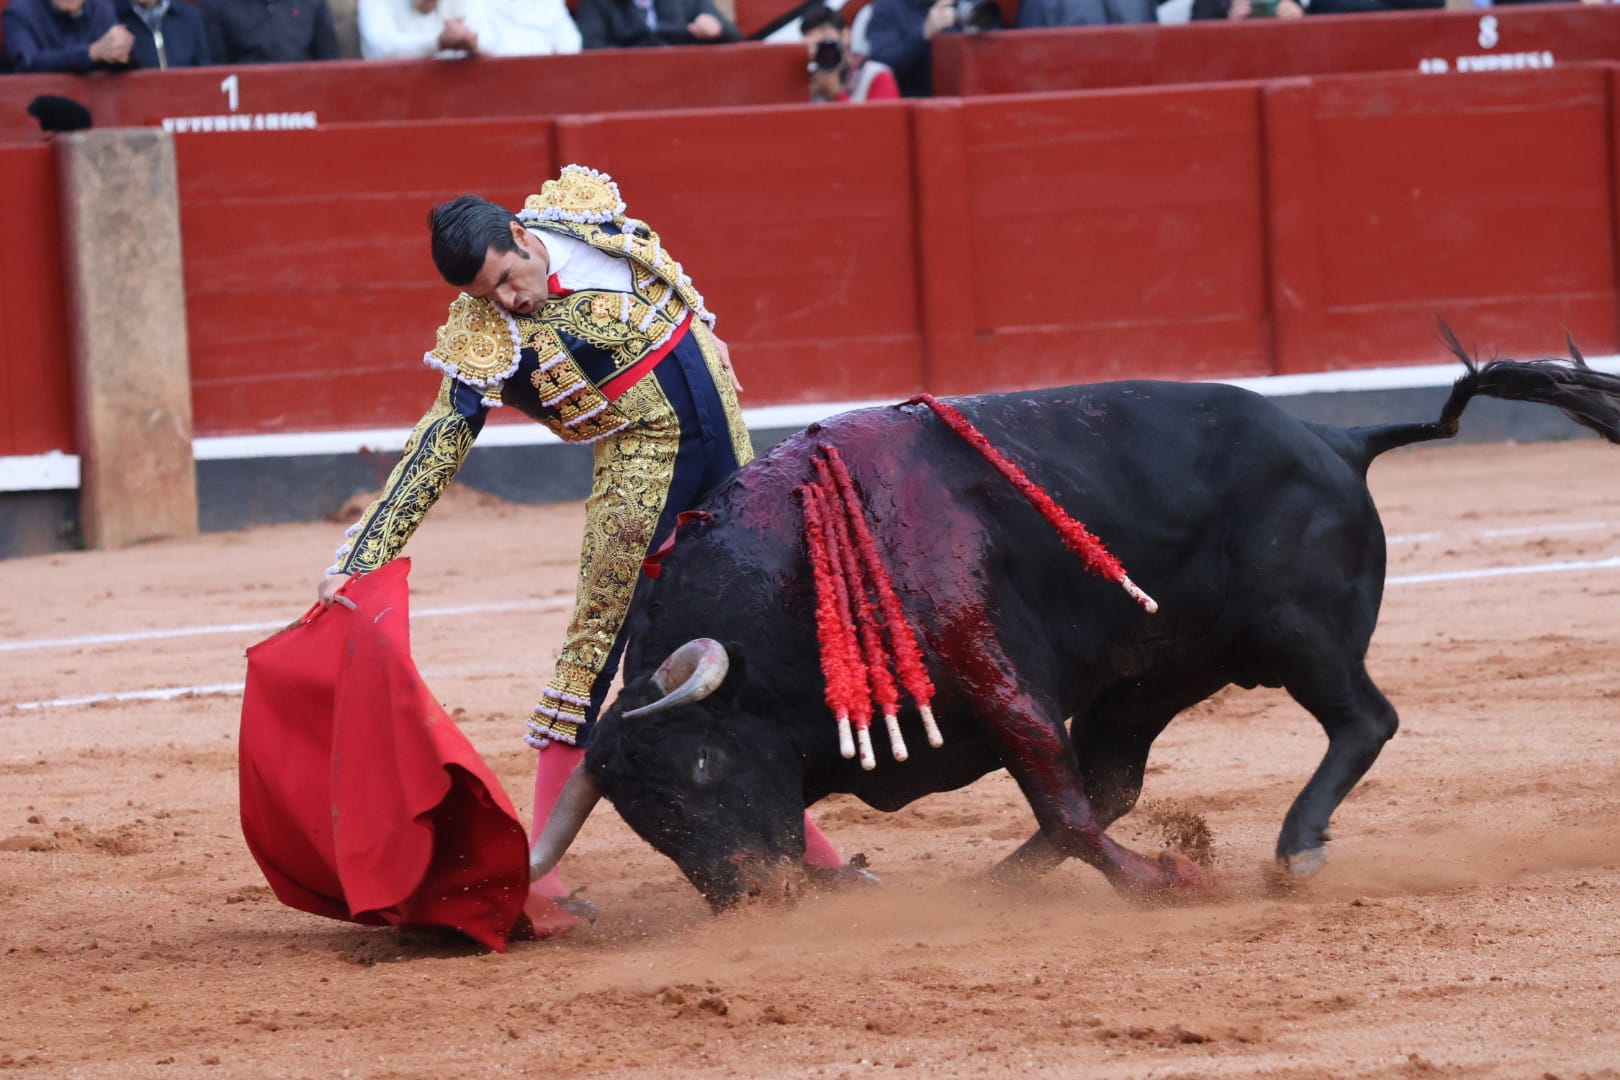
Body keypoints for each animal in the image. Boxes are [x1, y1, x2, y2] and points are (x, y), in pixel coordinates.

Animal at [524, 333, 1613, 906]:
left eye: (706, 768)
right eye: (644, 815)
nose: (758, 900)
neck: (789, 582)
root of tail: (1340, 438)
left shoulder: (997, 674)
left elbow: (1060, 795)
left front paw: (1165, 883)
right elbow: (1077, 798)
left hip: (1300, 637)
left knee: (1362, 720)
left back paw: (1295, 847)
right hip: (1160, 672)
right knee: (1121, 773)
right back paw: (993, 885)